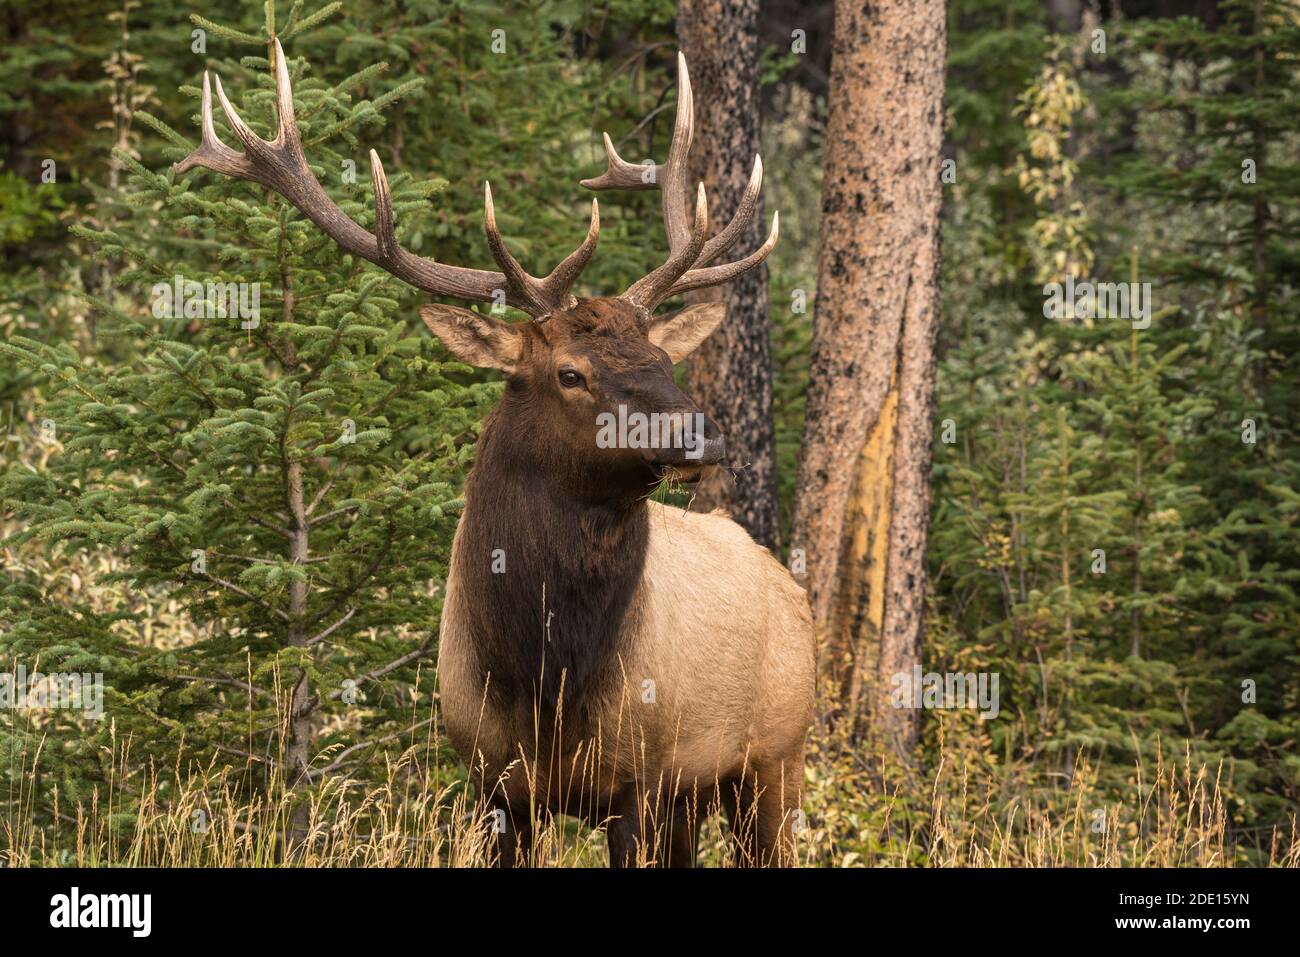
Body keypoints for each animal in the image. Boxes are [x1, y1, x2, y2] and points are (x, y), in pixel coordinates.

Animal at [178, 39, 811, 868]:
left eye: (662, 360)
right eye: (570, 373)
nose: (702, 435)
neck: (545, 677)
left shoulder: (642, 778)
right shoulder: (492, 780)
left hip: (776, 756)